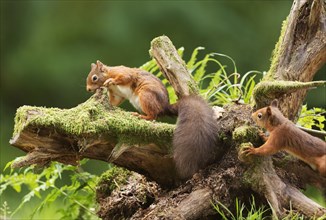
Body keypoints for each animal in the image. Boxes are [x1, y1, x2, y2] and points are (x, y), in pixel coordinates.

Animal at [86, 60, 219, 179]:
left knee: (153, 115)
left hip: (146, 95)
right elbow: (114, 101)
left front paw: (110, 81)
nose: (88, 89)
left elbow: (125, 77)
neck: (109, 73)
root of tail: (165, 107)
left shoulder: (122, 73)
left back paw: (142, 116)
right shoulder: (116, 94)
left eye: (94, 78)